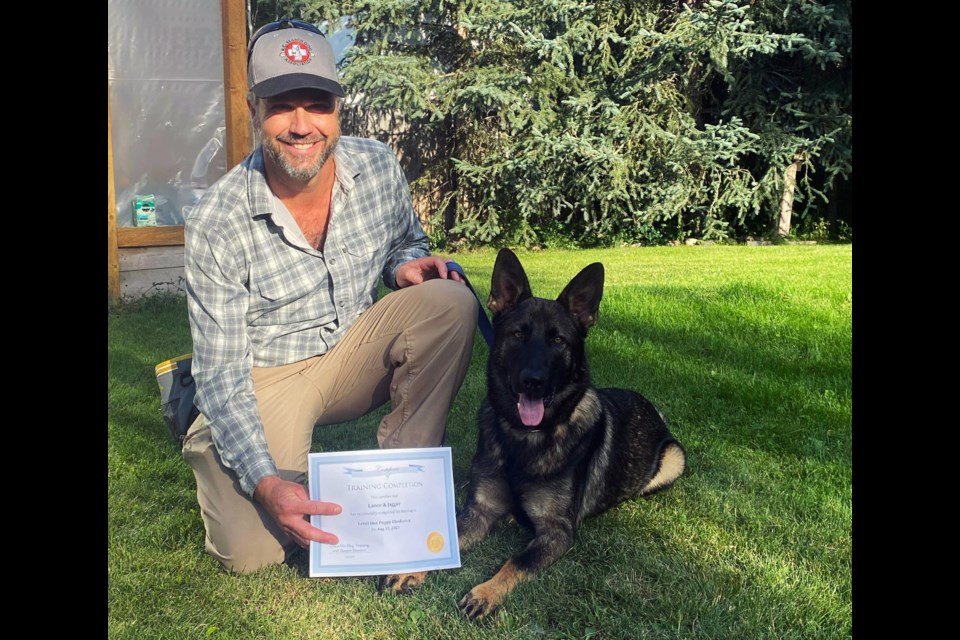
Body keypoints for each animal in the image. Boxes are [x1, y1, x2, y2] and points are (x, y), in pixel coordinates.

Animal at [454, 248, 688, 616]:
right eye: (518, 334)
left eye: (558, 340)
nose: (533, 382)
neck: (524, 439)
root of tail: (653, 409)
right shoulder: (480, 511)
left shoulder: (558, 532)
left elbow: (516, 561)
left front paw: (486, 592)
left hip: (674, 460)